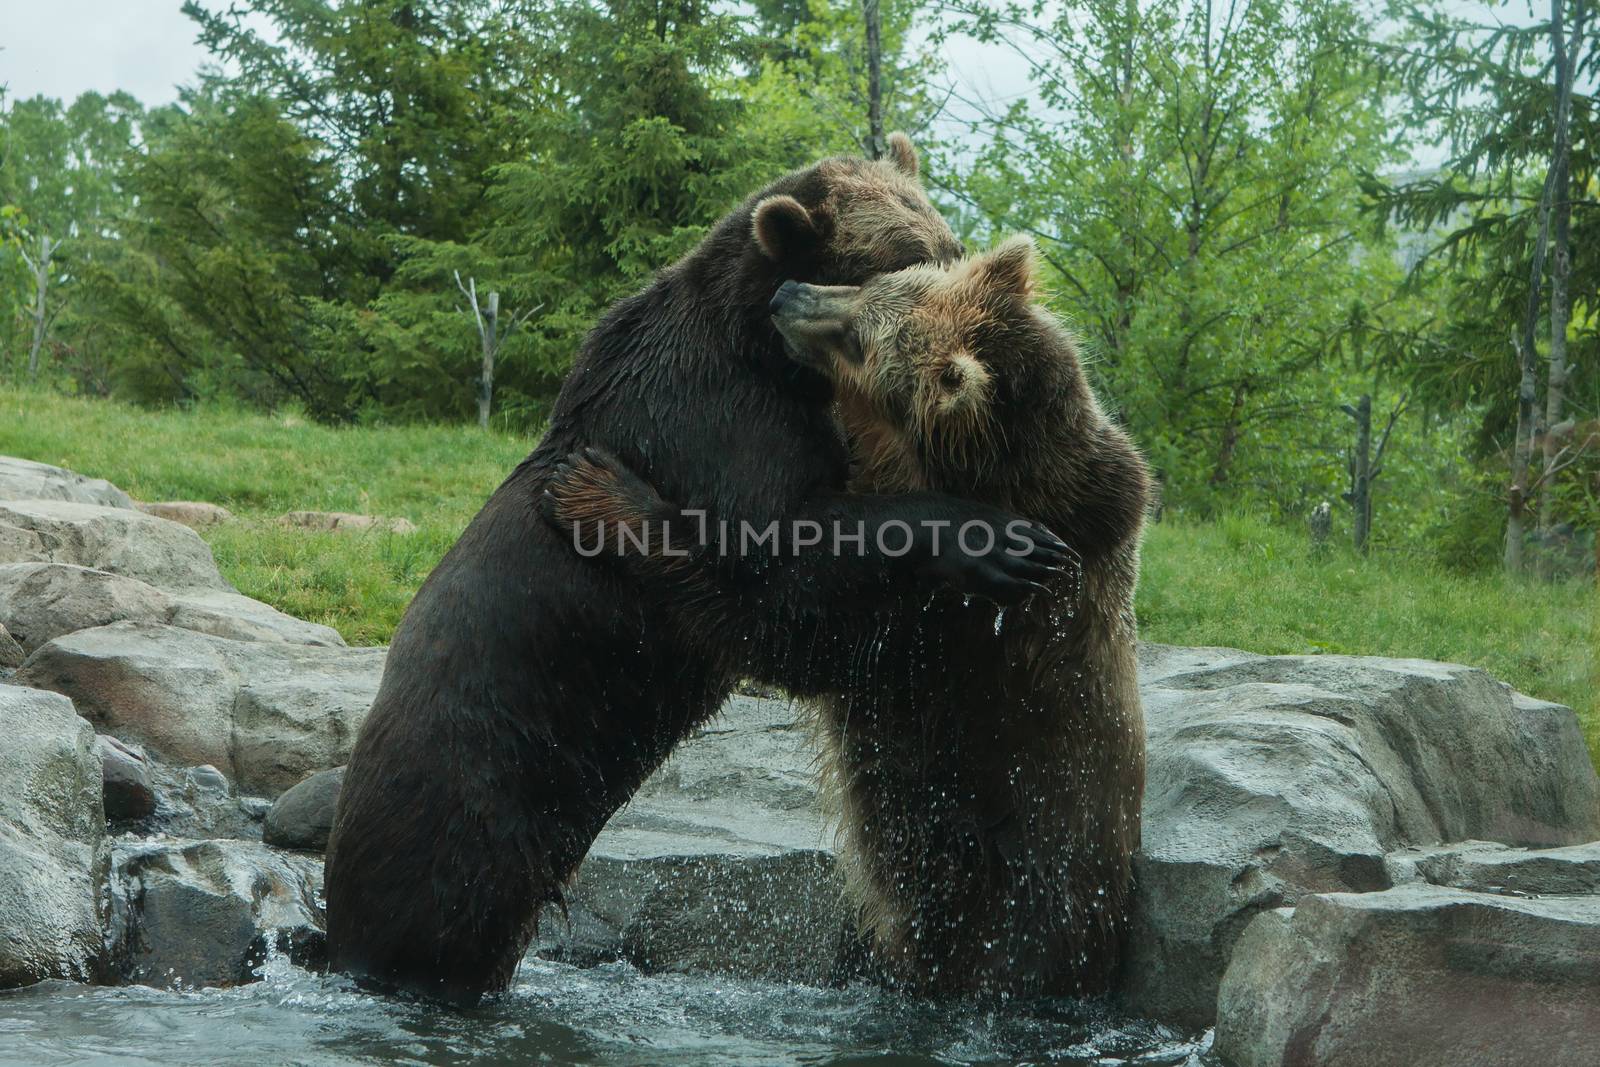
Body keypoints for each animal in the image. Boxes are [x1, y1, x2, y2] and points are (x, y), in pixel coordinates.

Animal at [320, 137, 1068, 1004]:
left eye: (945, 245)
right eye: (904, 258)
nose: (970, 311)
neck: (762, 354)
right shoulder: (714, 434)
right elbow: (782, 581)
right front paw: (998, 541)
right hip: (471, 811)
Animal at [550, 238, 1152, 998]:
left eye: (862, 341)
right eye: (879, 283)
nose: (787, 297)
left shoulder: (943, 631)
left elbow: (787, 630)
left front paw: (602, 490)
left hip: (1010, 900)